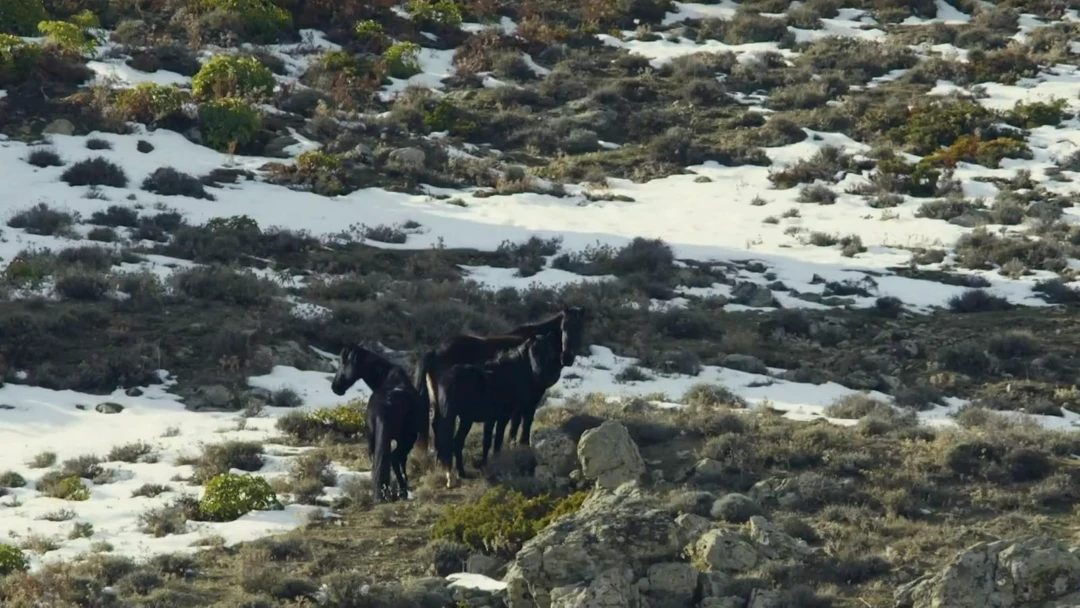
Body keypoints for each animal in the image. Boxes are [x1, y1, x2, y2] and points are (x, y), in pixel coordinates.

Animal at [331, 344, 429, 504]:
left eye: (343, 363)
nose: (335, 387)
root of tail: (384, 405)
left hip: (375, 439)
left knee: (378, 461)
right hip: (406, 439)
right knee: (396, 458)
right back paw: (401, 492)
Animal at [414, 306, 586, 449]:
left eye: (580, 328)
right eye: (563, 328)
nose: (567, 358)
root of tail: (435, 351)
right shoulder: (532, 394)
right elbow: (524, 420)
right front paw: (520, 444)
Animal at [431, 332, 563, 488]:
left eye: (549, 351)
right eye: (533, 351)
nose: (540, 373)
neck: (508, 375)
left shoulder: (492, 418)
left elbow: (488, 441)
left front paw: (485, 464)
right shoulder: (504, 416)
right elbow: (499, 440)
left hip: (462, 419)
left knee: (455, 442)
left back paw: (459, 473)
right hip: (459, 418)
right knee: (451, 442)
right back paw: (454, 476)